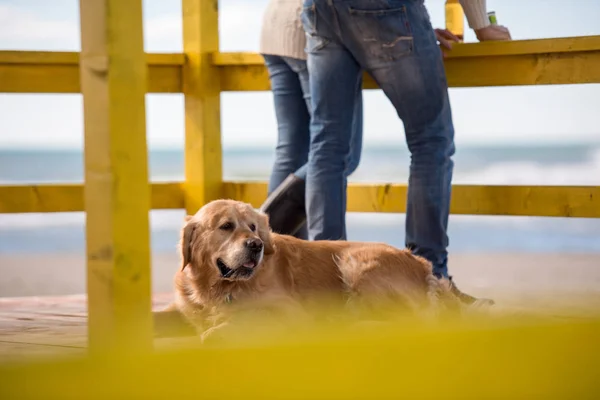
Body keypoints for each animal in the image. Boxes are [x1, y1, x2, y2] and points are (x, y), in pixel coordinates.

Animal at [172, 198, 478, 342]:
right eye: (226, 226)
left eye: (253, 227)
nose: (256, 245)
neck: (219, 288)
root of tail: (423, 266)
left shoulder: (291, 310)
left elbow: (248, 316)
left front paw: (219, 330)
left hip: (356, 261)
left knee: (412, 322)